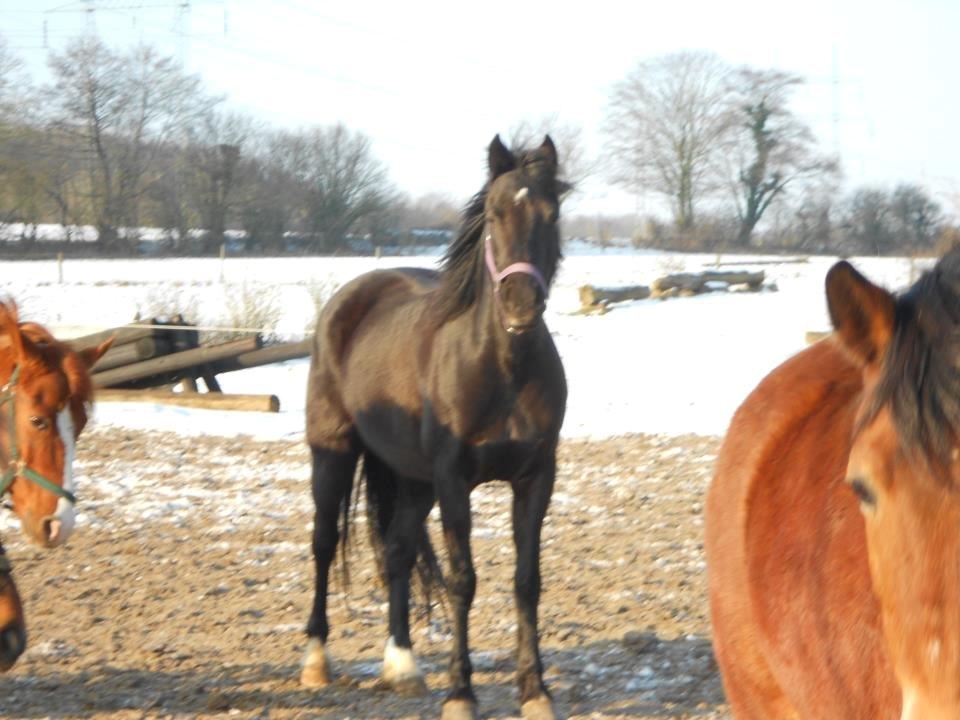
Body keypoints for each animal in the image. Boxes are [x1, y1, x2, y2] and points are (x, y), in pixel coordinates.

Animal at [304, 136, 568, 720]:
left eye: (552, 214)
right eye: (494, 213)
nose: (521, 304)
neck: (501, 367)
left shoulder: (536, 477)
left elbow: (528, 581)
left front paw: (535, 691)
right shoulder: (453, 480)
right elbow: (462, 580)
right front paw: (461, 695)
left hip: (411, 479)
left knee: (398, 551)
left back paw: (402, 666)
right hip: (333, 454)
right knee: (324, 543)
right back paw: (315, 659)